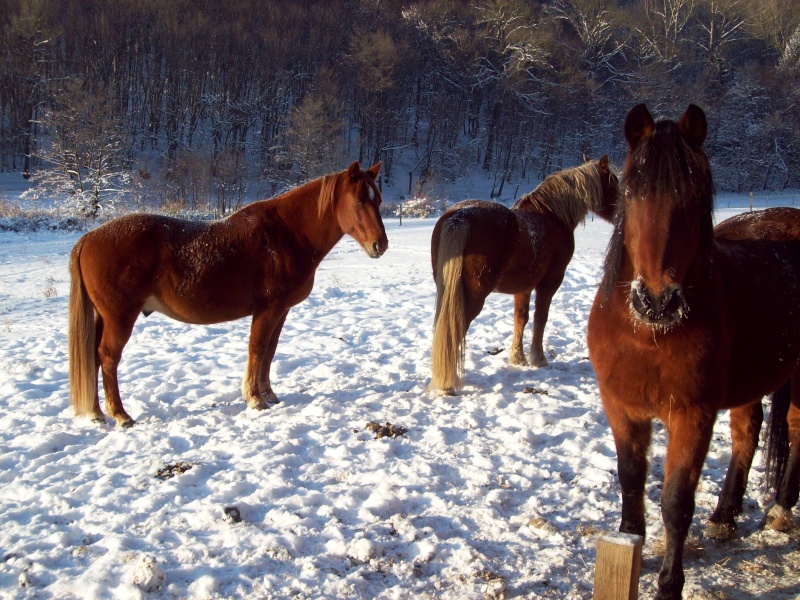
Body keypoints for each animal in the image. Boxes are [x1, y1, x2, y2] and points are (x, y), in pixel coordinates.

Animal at [70, 162, 390, 428]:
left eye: (378, 200)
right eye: (360, 201)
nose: (380, 245)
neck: (286, 234)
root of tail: (89, 237)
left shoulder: (281, 310)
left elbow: (270, 351)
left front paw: (268, 394)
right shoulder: (268, 309)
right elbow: (257, 349)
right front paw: (255, 399)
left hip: (104, 317)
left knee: (93, 356)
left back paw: (97, 413)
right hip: (120, 317)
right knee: (108, 357)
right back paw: (120, 415)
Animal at [432, 157, 620, 396]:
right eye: (613, 183)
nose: (622, 215)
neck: (552, 215)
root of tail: (459, 217)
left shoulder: (524, 287)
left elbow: (520, 319)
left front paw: (518, 358)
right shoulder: (550, 282)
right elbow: (541, 318)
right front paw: (539, 359)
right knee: (453, 330)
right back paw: (448, 384)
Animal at [588, 104, 800, 600]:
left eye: (695, 196)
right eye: (632, 191)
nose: (657, 301)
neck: (648, 336)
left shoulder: (692, 416)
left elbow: (675, 502)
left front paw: (669, 584)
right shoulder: (622, 409)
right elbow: (631, 482)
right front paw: (632, 548)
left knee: (798, 431)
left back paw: (780, 510)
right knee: (747, 432)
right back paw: (724, 517)